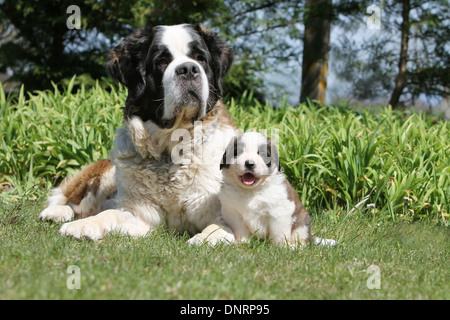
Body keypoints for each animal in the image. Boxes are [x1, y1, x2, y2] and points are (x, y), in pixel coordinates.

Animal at [38, 23, 239, 245]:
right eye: (161, 62)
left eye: (200, 58)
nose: (188, 69)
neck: (170, 149)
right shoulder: (137, 213)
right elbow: (109, 214)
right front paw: (82, 226)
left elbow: (219, 227)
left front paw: (203, 239)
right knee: (76, 202)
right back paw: (56, 213)